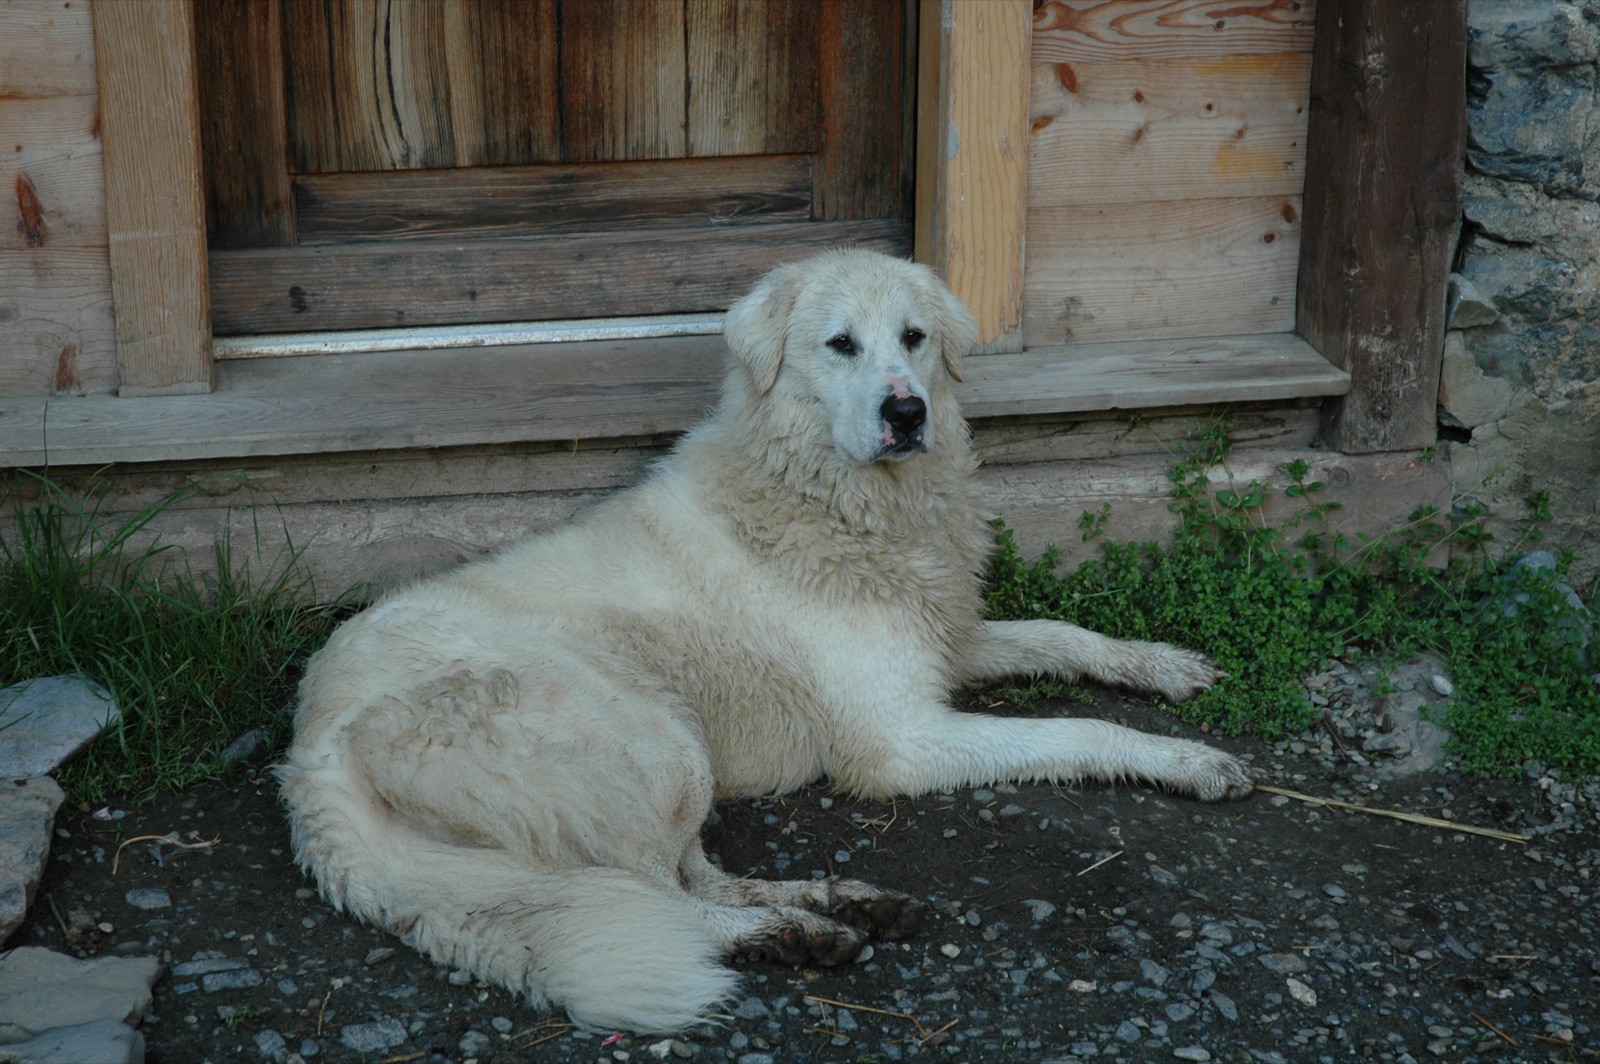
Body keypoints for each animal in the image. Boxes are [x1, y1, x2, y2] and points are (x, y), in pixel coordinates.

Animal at [279, 249, 1252, 1033]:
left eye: (915, 338)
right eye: (840, 345)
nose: (908, 413)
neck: (829, 497)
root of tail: (310, 763)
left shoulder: (947, 641)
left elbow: (1064, 631)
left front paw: (1164, 665)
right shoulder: (900, 741)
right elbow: (1076, 731)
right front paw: (1189, 761)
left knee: (690, 878)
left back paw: (830, 904)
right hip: (654, 743)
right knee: (653, 893)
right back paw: (784, 931)